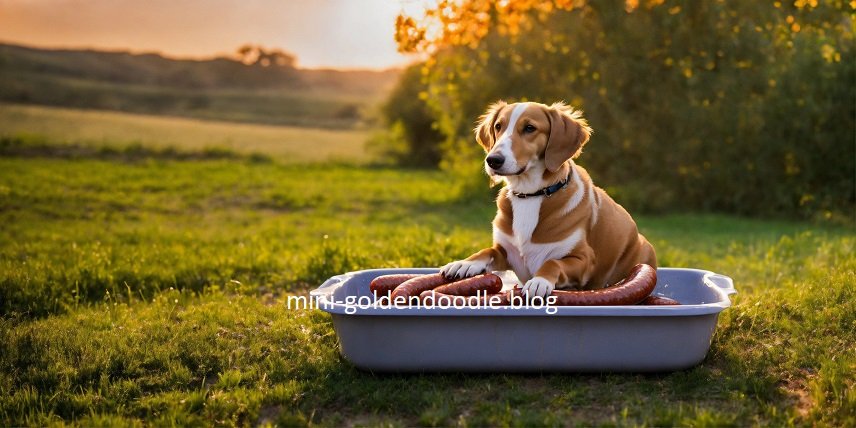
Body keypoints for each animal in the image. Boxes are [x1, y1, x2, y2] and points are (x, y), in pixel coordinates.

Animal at [442, 100, 656, 298]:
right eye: (498, 126)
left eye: (529, 128)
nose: (493, 160)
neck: (530, 195)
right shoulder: (506, 252)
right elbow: (488, 251)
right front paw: (465, 263)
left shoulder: (583, 260)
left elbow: (553, 262)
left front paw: (539, 281)